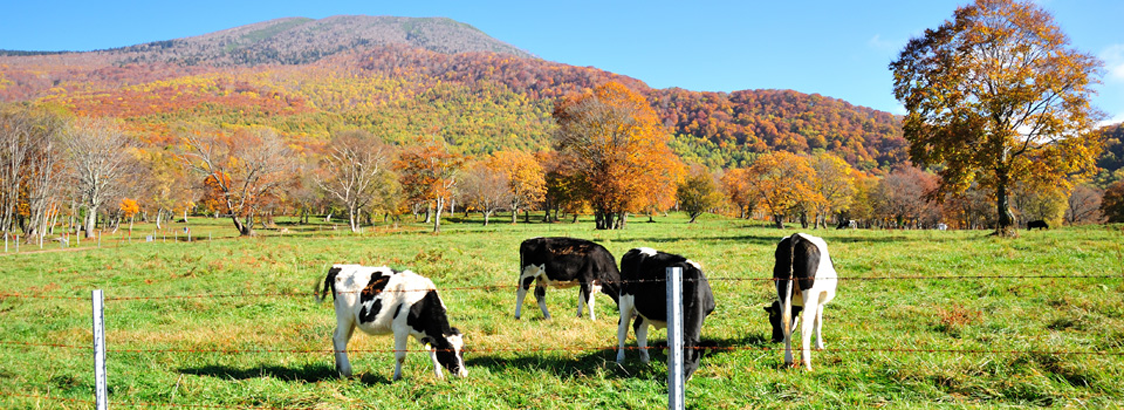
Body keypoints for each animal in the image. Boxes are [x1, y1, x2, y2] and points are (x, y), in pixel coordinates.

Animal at [319, 263, 467, 377]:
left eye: (462, 351)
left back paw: (339, 368)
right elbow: (400, 356)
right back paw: (346, 370)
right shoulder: (400, 329)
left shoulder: (425, 333)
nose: (463, 374)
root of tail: (337, 267)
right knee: (340, 339)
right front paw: (397, 377)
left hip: (352, 321)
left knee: (337, 338)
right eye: (448, 351)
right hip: (344, 316)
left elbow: (433, 354)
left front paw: (439, 376)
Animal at [620, 247, 714, 381]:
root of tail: (634, 249)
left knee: (639, 327)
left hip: (646, 308)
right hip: (625, 299)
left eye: (691, 359)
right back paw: (620, 359)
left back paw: (645, 360)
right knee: (623, 329)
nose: (682, 377)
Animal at [773, 231, 836, 368]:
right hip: (810, 290)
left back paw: (788, 359)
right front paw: (819, 345)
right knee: (806, 322)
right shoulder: (818, 301)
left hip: (782, 286)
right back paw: (806, 362)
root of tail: (796, 236)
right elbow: (817, 322)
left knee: (786, 320)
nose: (775, 339)